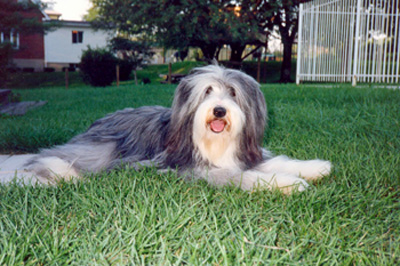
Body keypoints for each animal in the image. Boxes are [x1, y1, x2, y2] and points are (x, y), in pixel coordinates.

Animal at [25, 64, 332, 193]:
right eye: (207, 91)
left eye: (233, 92)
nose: (219, 110)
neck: (215, 143)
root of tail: (103, 118)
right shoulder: (194, 169)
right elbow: (242, 177)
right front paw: (290, 184)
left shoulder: (246, 155)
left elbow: (276, 161)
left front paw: (315, 168)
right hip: (104, 147)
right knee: (56, 154)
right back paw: (61, 172)